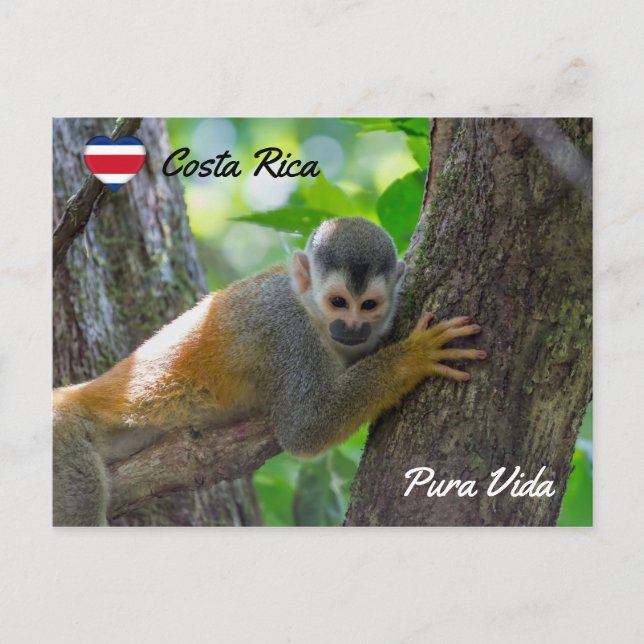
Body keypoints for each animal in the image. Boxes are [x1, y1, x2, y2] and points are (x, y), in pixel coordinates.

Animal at [53, 217, 486, 526]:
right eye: (338, 302)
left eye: (368, 306)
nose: (351, 327)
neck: (309, 310)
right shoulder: (289, 335)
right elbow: (305, 428)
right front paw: (414, 355)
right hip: (62, 435)